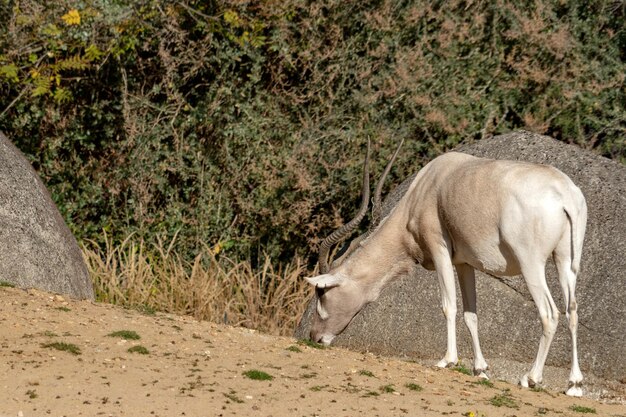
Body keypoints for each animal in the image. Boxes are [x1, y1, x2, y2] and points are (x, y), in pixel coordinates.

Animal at [306, 141, 584, 394]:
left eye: (322, 293)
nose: (315, 337)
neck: (427, 187)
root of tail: (566, 195)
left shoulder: (439, 249)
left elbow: (448, 306)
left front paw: (447, 360)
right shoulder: (464, 263)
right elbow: (471, 315)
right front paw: (480, 369)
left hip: (530, 265)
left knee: (550, 313)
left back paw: (531, 378)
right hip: (566, 262)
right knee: (572, 311)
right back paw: (574, 385)